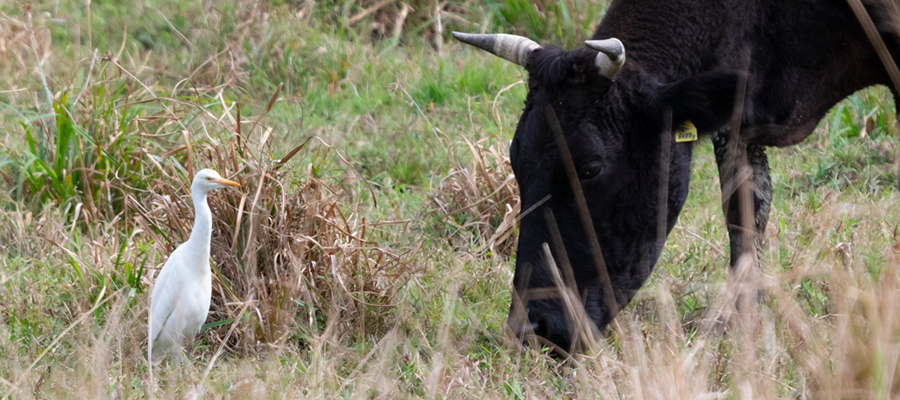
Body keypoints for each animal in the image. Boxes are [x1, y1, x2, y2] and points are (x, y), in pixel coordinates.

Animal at [458, 0, 900, 352]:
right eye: (515, 160)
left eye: (590, 168)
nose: (531, 328)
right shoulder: (738, 117)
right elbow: (745, 213)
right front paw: (745, 327)